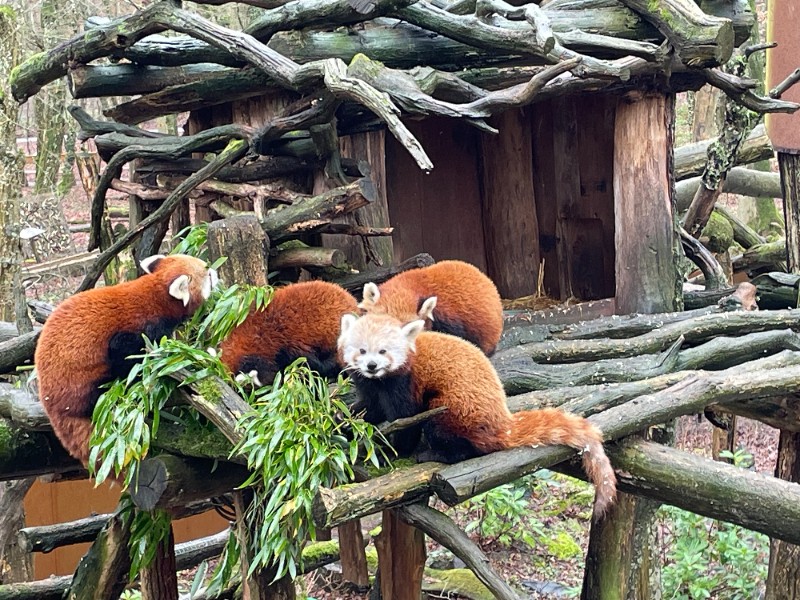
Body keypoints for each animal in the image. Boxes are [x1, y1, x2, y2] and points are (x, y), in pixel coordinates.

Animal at [34, 253, 219, 468]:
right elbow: (125, 354)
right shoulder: (141, 328)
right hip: (79, 381)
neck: (156, 296)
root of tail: (50, 403)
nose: (216, 272)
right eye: (207, 273)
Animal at [338, 312, 620, 516]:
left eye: (383, 351)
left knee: (451, 436)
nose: (372, 366)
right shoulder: (370, 386)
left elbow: (406, 420)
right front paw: (344, 423)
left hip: (452, 408)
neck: (380, 380)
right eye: (361, 350)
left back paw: (436, 453)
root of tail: (502, 421)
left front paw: (395, 452)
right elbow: (368, 408)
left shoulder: (405, 383)